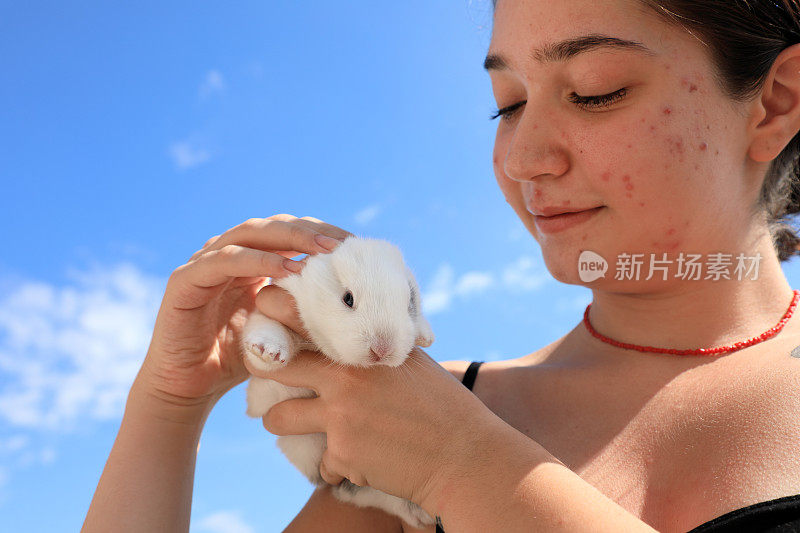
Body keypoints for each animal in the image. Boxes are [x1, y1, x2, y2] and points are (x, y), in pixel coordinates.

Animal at [242, 236, 438, 528]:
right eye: (348, 298)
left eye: (410, 301)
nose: (382, 350)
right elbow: (269, 333)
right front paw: (268, 351)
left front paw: (426, 335)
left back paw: (421, 514)